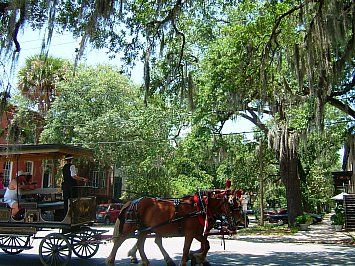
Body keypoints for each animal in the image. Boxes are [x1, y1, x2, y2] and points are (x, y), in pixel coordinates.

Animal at [105, 189, 242, 266]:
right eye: (232, 203)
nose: (238, 221)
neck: (200, 206)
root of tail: (132, 202)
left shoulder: (197, 233)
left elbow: (206, 245)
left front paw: (199, 258)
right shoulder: (190, 233)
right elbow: (186, 248)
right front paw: (187, 260)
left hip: (145, 229)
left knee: (141, 244)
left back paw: (147, 261)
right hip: (131, 227)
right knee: (119, 241)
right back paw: (111, 260)